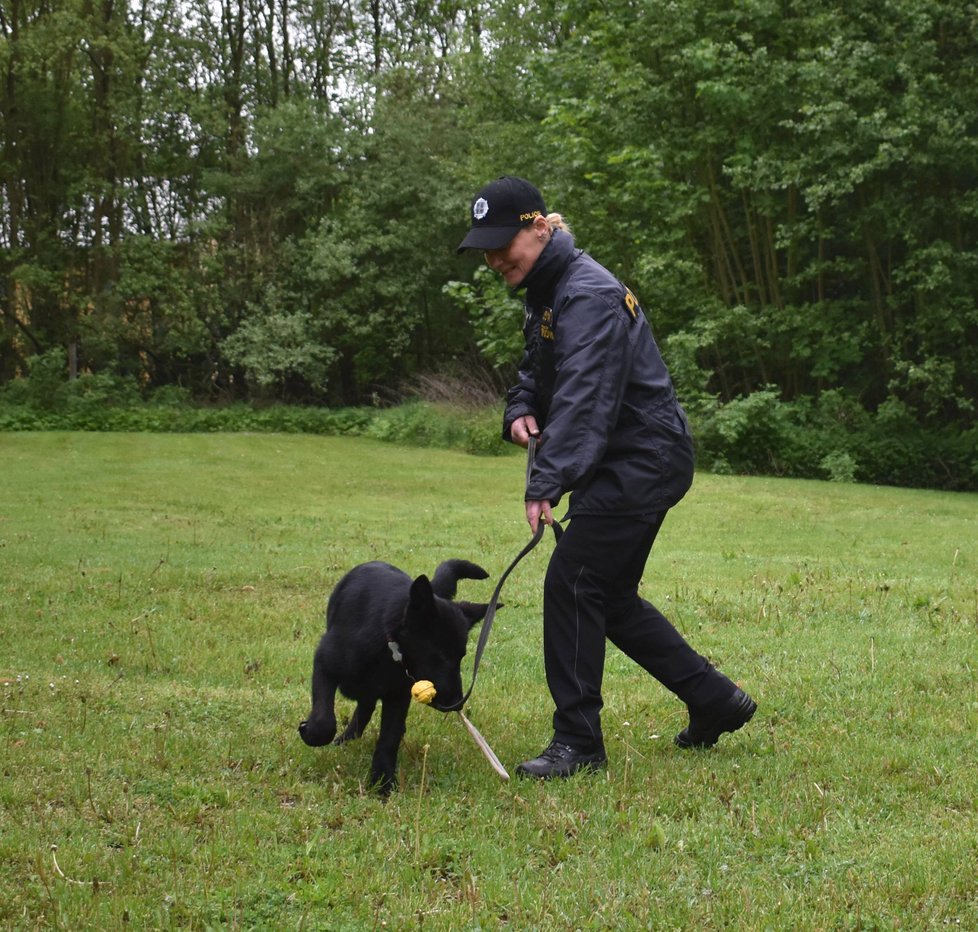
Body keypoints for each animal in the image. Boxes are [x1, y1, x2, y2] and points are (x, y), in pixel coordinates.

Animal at [298, 560, 492, 792]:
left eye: (461, 657)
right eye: (441, 656)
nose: (457, 703)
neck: (388, 642)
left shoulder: (398, 695)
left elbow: (388, 738)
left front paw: (382, 782)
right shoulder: (324, 663)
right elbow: (323, 721)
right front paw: (311, 732)